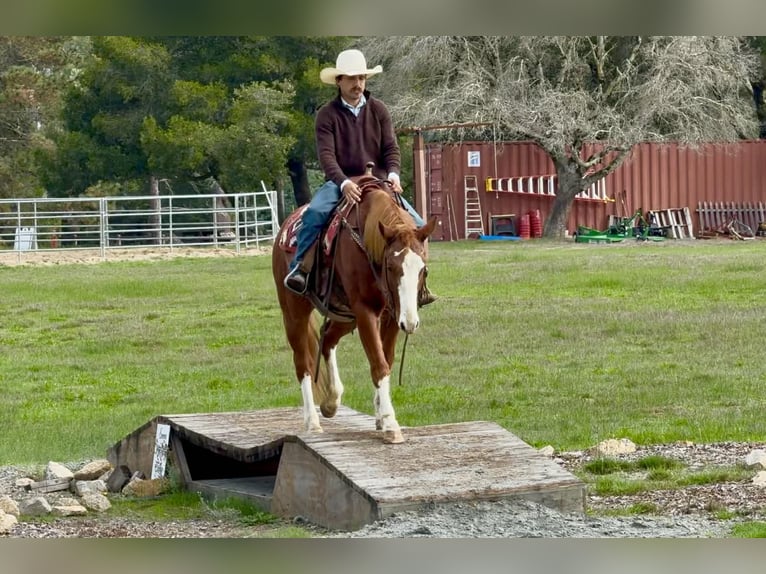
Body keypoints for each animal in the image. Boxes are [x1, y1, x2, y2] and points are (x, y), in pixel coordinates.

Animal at [272, 177, 437, 444]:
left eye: (422, 267)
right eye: (391, 267)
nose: (411, 323)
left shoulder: (392, 315)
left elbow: (386, 359)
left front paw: (380, 416)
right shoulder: (365, 312)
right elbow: (379, 363)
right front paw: (390, 423)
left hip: (344, 315)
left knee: (327, 338)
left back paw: (332, 400)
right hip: (294, 312)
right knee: (303, 362)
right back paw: (312, 422)